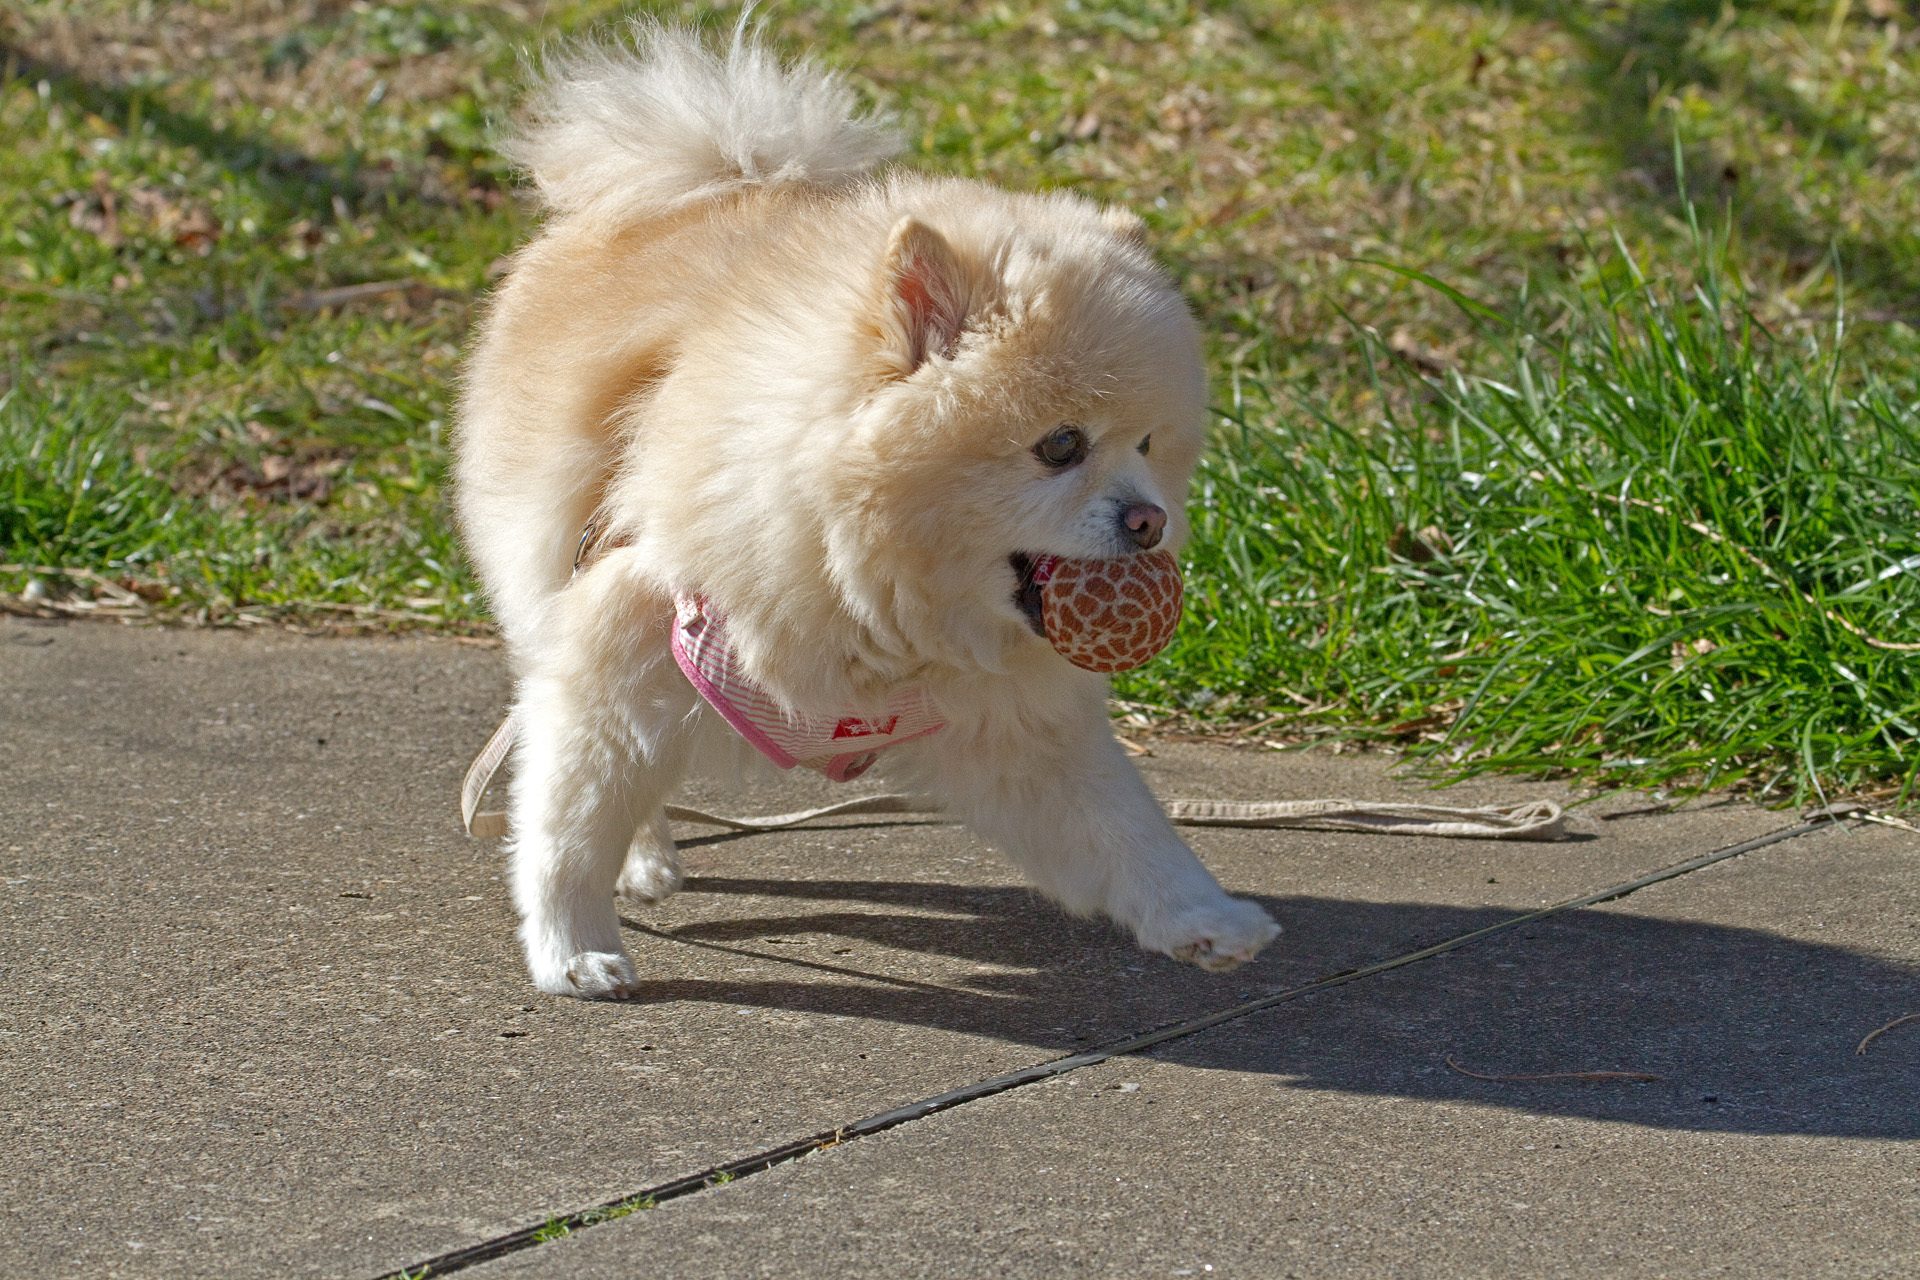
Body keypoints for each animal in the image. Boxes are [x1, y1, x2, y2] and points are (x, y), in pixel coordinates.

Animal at [455, 22, 1282, 997]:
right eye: (1060, 446)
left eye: (1150, 444)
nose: (1152, 523)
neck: (862, 582)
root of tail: (719, 169)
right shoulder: (618, 655)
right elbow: (566, 827)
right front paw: (572, 947)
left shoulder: (1020, 729)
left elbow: (1129, 833)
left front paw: (1202, 919)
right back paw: (644, 859)